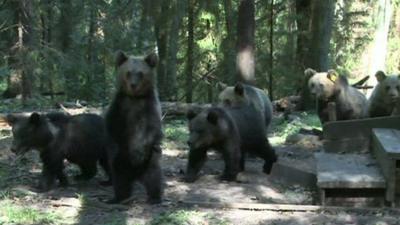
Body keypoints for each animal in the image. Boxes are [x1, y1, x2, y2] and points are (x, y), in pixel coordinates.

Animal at [106, 50, 164, 204]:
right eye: (128, 72)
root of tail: (136, 175)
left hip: (151, 160)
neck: (135, 98)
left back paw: (155, 197)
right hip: (120, 163)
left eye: (141, 73)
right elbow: (113, 126)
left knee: (154, 176)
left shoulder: (149, 107)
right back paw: (118, 197)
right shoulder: (120, 105)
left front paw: (138, 153)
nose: (133, 85)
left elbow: (151, 129)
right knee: (119, 176)